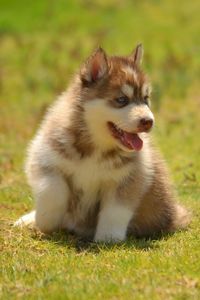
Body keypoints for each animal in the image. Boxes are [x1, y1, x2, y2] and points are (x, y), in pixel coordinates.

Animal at [14, 44, 191, 241]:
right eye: (122, 100)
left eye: (146, 99)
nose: (148, 121)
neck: (95, 146)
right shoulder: (45, 159)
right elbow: (52, 192)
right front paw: (44, 220)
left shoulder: (130, 177)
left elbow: (115, 211)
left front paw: (108, 239)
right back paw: (28, 220)